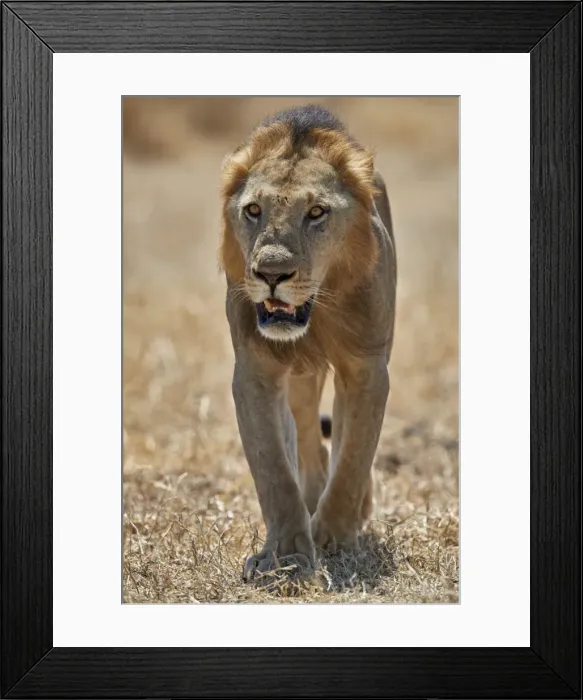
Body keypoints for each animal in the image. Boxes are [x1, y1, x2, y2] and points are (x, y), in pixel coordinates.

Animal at [219, 105, 396, 582]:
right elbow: (274, 470)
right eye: (253, 210)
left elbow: (353, 456)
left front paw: (334, 539)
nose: (271, 274)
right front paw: (284, 555)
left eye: (317, 212)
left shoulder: (367, 368)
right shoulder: (255, 371)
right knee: (305, 435)